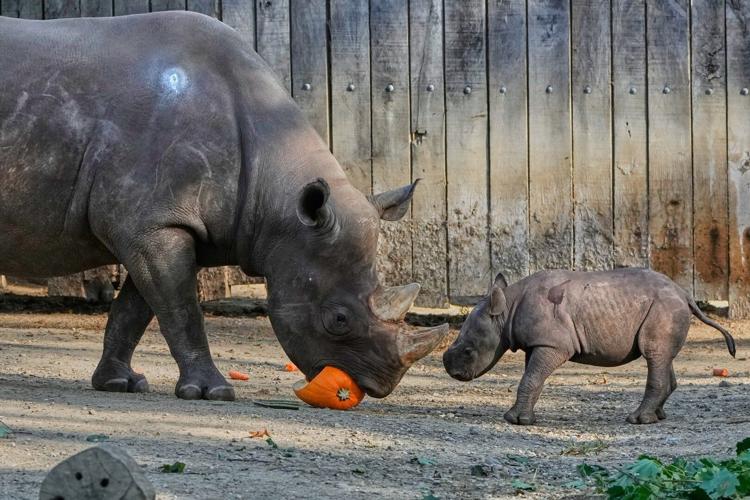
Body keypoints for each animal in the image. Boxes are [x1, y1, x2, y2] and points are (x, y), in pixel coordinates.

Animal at [0, 12, 447, 401]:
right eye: (338, 320)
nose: (379, 385)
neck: (279, 197)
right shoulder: (153, 224)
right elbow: (181, 309)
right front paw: (211, 392)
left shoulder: (161, 225)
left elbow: (136, 309)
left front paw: (118, 383)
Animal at [443, 268, 736, 425]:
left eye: (468, 351)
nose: (452, 372)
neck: (506, 310)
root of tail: (685, 294)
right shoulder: (539, 342)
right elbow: (532, 379)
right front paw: (521, 417)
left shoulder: (554, 345)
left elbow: (530, 379)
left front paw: (516, 421)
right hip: (666, 307)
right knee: (662, 357)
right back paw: (658, 416)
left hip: (664, 307)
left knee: (654, 354)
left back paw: (637, 420)